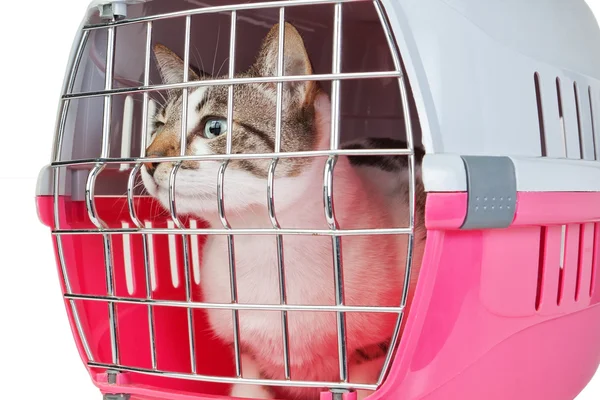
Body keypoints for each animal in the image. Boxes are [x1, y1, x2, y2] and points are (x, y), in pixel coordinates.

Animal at [142, 22, 426, 400]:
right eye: (158, 125)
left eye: (214, 127)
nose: (146, 161)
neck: (258, 239)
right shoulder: (243, 351)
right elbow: (247, 384)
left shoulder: (374, 352)